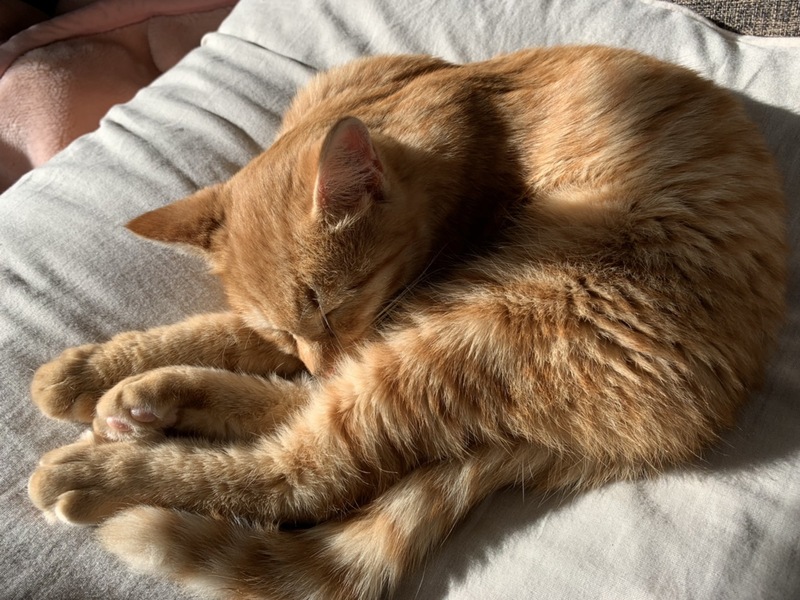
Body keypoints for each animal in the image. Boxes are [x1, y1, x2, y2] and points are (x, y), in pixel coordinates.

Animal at [28, 45, 786, 599]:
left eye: (333, 304)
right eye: (288, 329)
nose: (322, 355)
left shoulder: (389, 308)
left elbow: (241, 347)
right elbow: (225, 333)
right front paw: (87, 369)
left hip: (482, 320)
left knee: (307, 469)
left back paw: (99, 467)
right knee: (306, 415)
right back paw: (142, 399)